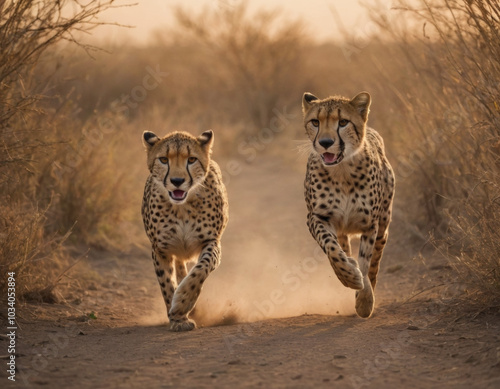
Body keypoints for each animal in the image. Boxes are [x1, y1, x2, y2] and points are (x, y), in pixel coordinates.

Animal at [140, 129, 228, 328]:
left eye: (192, 159)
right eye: (164, 159)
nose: (177, 180)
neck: (181, 208)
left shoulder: (211, 241)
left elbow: (201, 268)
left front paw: (182, 302)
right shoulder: (160, 249)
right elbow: (166, 283)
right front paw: (177, 319)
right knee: (179, 268)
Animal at [300, 91, 394, 318]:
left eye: (343, 122)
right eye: (315, 122)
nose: (325, 142)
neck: (341, 171)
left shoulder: (370, 224)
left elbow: (366, 261)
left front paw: (365, 300)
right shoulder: (317, 217)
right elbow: (332, 249)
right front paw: (349, 276)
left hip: (383, 226)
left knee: (375, 262)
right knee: (343, 247)